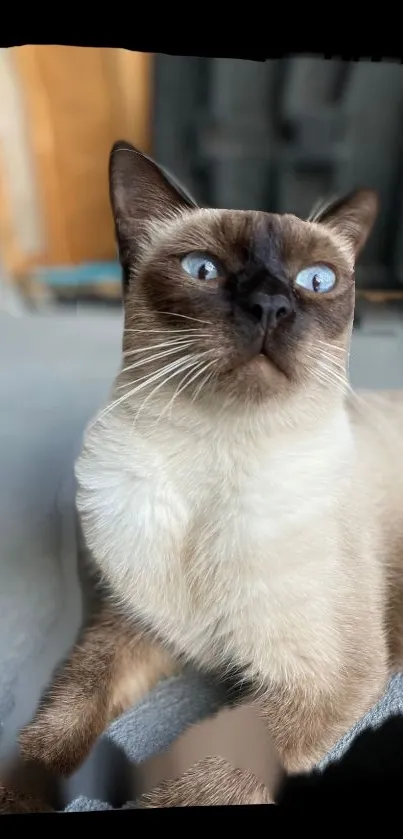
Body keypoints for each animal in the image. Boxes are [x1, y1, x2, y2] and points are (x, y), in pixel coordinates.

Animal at [12, 144, 403, 808]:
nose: (270, 306)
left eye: (316, 280)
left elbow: (198, 781)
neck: (217, 455)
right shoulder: (133, 629)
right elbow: (58, 721)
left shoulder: (318, 683)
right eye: (203, 269)